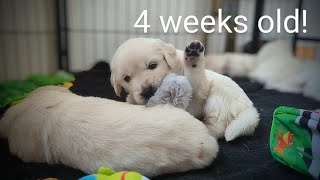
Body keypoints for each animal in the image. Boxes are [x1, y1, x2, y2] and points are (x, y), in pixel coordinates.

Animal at [110, 38, 260, 141]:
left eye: (152, 65)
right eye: (126, 78)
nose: (147, 92)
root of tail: (250, 109)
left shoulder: (199, 92)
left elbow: (195, 80)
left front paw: (194, 57)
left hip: (218, 101)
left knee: (217, 128)